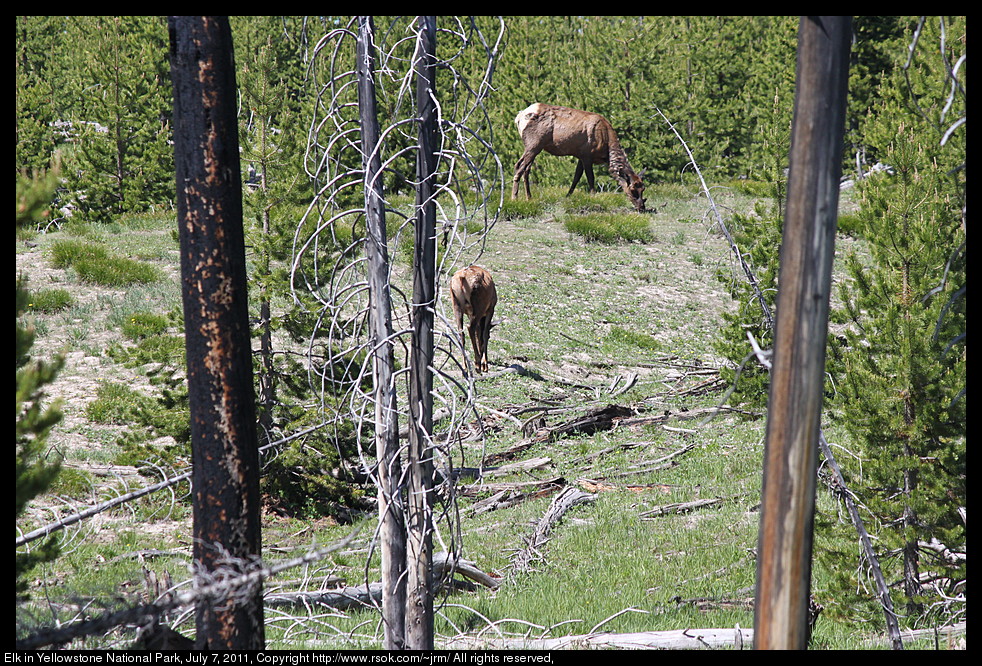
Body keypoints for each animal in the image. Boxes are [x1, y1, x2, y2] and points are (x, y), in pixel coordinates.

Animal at [512, 102, 648, 211]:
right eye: (633, 190)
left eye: (643, 189)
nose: (641, 207)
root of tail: (519, 117)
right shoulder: (587, 155)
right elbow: (590, 178)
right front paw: (594, 197)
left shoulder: (580, 156)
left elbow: (576, 177)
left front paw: (568, 196)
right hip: (534, 143)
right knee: (519, 165)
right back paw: (514, 198)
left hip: (533, 146)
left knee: (526, 169)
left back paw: (529, 197)